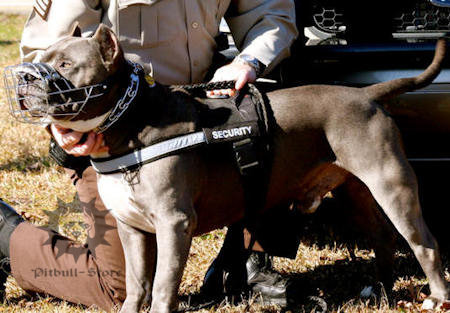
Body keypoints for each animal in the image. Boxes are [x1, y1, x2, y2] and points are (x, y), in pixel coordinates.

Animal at [7, 24, 450, 312]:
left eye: (66, 64)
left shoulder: (174, 223)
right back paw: (380, 291)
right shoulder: (131, 228)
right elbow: (135, 284)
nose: (25, 77)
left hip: (391, 184)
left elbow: (162, 285)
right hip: (354, 191)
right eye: (39, 58)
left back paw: (436, 297)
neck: (129, 122)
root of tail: (367, 94)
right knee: (383, 238)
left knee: (424, 243)